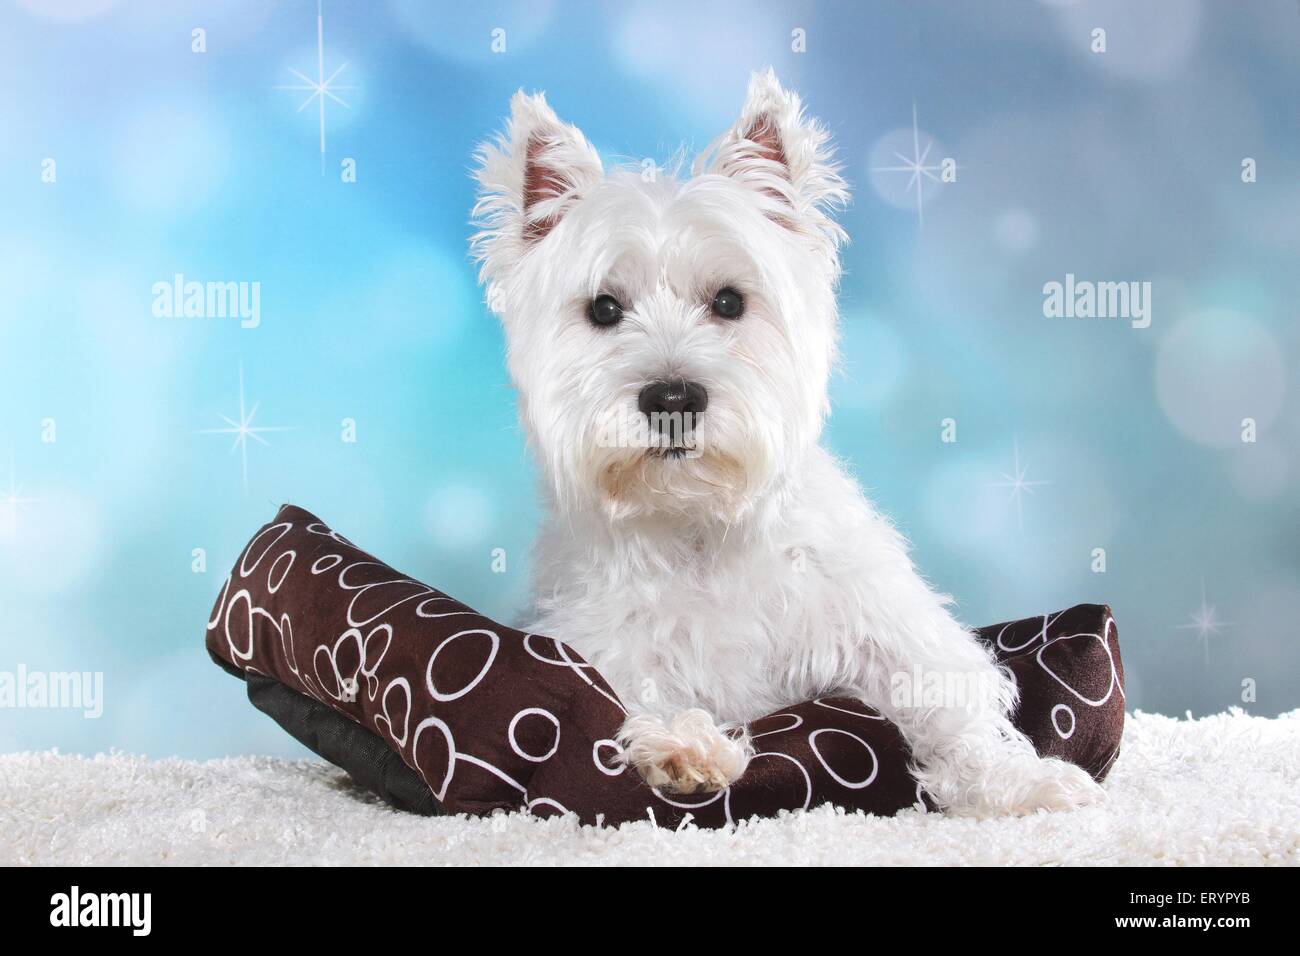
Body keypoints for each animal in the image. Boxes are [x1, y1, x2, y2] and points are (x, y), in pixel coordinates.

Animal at [473, 70, 1102, 816]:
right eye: (603, 308)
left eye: (729, 302)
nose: (674, 400)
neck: (700, 529)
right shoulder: (603, 639)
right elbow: (634, 695)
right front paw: (683, 746)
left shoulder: (882, 621)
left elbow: (950, 704)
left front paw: (1019, 781)